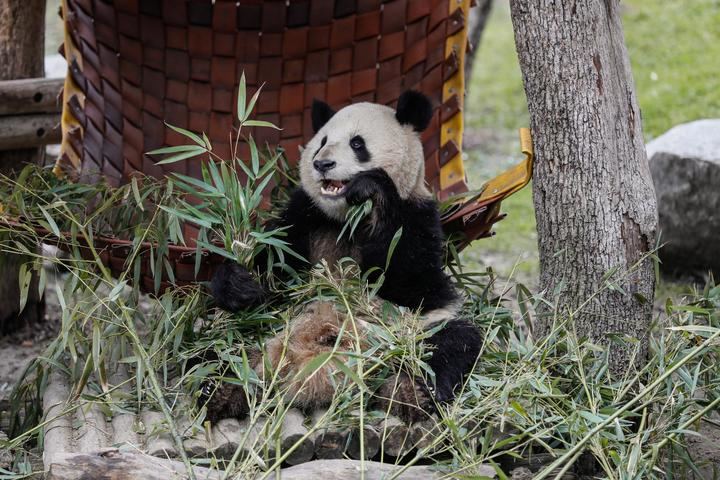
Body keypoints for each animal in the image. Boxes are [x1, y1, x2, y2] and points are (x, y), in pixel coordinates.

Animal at [207, 91, 482, 421]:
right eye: (322, 141)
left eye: (357, 143)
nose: (322, 163)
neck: (347, 219)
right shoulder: (304, 216)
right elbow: (275, 266)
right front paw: (239, 283)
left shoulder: (419, 216)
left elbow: (412, 281)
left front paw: (372, 188)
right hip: (256, 328)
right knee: (216, 347)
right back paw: (222, 389)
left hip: (417, 330)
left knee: (451, 344)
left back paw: (410, 393)